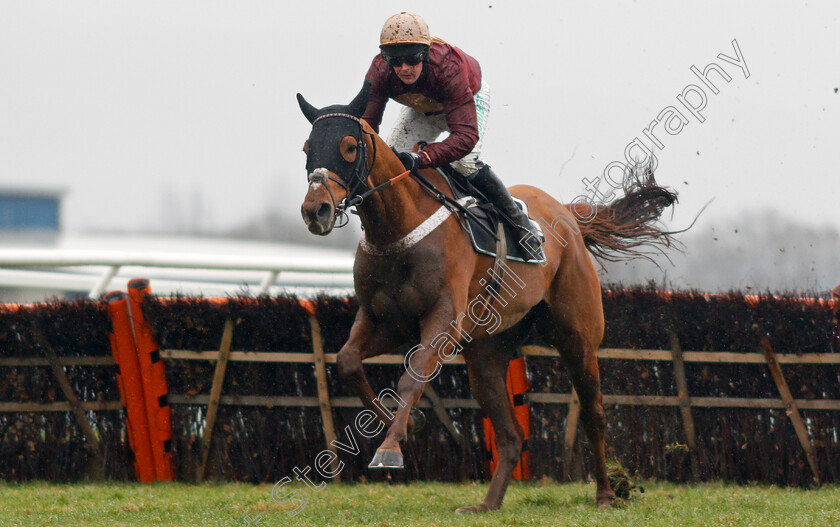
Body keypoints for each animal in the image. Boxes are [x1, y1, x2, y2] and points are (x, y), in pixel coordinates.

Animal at [296, 82, 676, 512]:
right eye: (307, 148)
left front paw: (390, 447)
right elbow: (347, 361)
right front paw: (407, 423)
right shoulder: (385, 321)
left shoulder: (442, 320)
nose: (316, 210)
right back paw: (486, 504)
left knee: (594, 412)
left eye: (348, 147)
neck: (399, 228)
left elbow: (413, 376)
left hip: (577, 337)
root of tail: (567, 215)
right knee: (511, 436)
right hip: (486, 354)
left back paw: (607, 494)